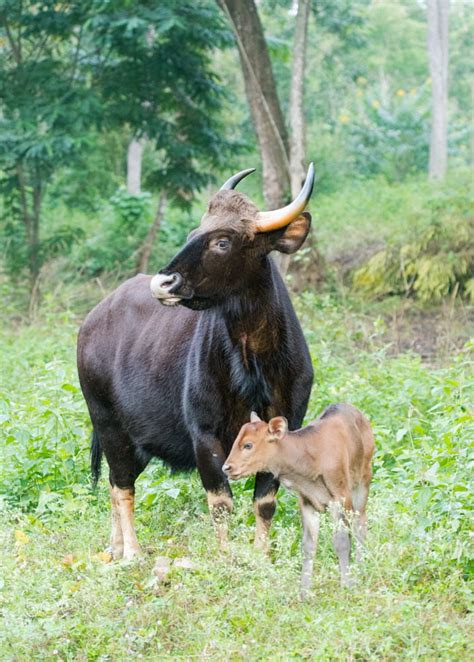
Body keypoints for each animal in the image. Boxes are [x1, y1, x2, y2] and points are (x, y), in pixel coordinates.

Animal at [222, 402, 374, 600]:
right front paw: (304, 592)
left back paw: (361, 569)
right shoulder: (307, 502)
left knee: (360, 525)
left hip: (363, 482)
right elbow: (308, 546)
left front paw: (347, 585)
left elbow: (341, 541)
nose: (226, 467)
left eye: (248, 445)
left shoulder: (340, 497)